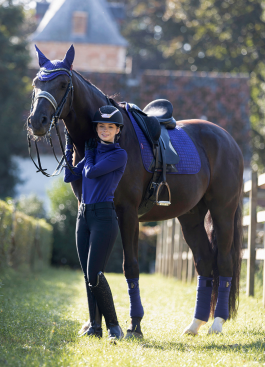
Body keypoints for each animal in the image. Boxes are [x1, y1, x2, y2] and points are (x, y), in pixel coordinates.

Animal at [27, 48, 242, 340]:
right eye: (37, 82)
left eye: (62, 84)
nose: (36, 122)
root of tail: (228, 139)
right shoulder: (92, 211)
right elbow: (93, 268)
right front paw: (94, 326)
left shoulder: (127, 214)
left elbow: (130, 266)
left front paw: (134, 325)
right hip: (191, 217)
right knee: (205, 262)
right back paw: (195, 324)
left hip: (222, 212)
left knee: (225, 262)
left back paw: (217, 322)